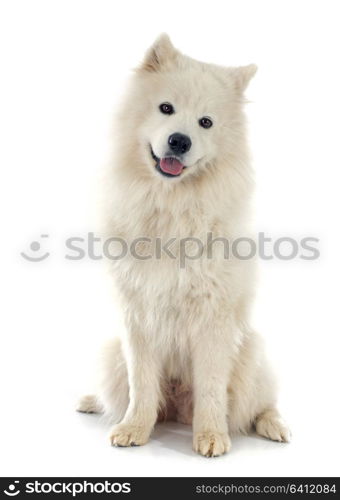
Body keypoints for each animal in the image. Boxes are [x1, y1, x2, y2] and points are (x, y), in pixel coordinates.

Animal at [78, 35, 290, 458]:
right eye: (166, 108)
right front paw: (134, 430)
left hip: (252, 353)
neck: (172, 206)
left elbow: (211, 389)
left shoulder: (212, 319)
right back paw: (93, 402)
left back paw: (274, 427)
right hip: (111, 352)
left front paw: (210, 437)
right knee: (128, 396)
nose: (179, 140)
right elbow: (142, 386)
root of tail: (177, 406)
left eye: (205, 122)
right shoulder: (137, 315)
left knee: (261, 404)